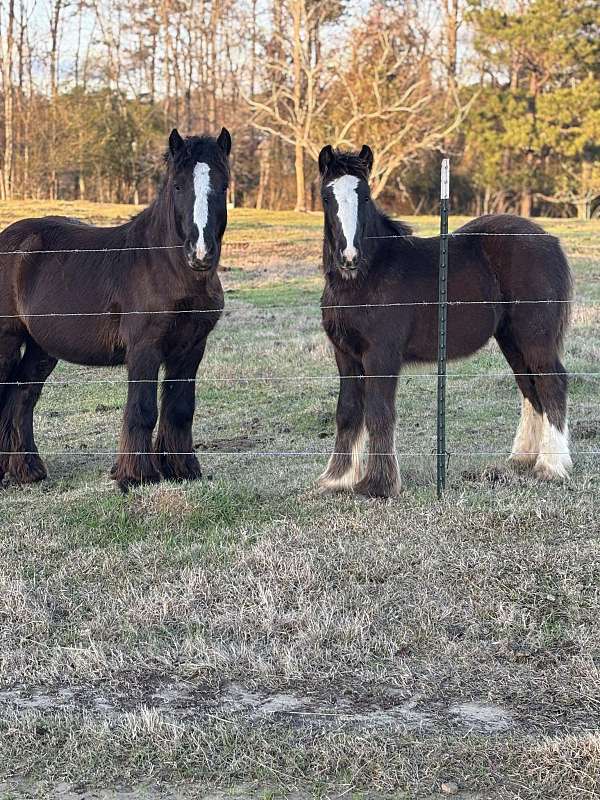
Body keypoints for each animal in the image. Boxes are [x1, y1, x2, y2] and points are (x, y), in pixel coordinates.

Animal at [0, 127, 231, 492]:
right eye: (178, 185)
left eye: (223, 185)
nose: (201, 253)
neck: (165, 265)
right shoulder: (144, 349)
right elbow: (143, 410)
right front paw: (136, 476)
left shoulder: (191, 349)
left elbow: (180, 409)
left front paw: (182, 469)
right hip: (7, 340)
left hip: (40, 349)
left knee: (21, 397)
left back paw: (28, 471)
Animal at [317, 144, 573, 498]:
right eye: (327, 196)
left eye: (365, 195)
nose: (349, 257)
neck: (366, 277)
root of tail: (550, 240)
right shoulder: (345, 354)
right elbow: (347, 411)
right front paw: (338, 479)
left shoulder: (381, 355)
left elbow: (379, 412)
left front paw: (378, 485)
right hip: (510, 339)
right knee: (529, 387)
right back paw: (522, 459)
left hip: (535, 336)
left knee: (552, 383)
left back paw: (551, 466)